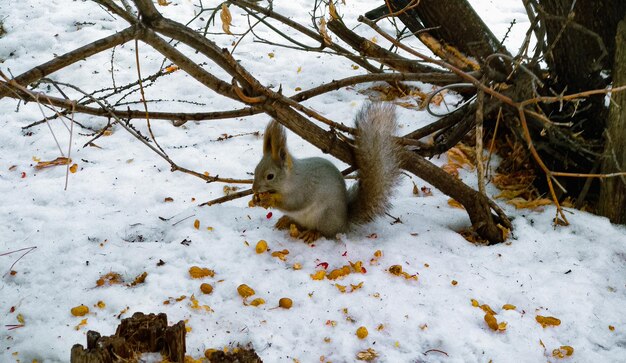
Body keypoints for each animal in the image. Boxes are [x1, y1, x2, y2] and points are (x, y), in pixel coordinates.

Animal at [249, 102, 400, 243]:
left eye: (270, 176)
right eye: (255, 169)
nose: (254, 188)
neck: (291, 178)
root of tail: (343, 224)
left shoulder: (303, 189)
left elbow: (293, 203)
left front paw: (269, 199)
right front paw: (255, 200)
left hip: (325, 217)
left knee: (326, 233)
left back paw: (313, 233)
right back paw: (286, 220)